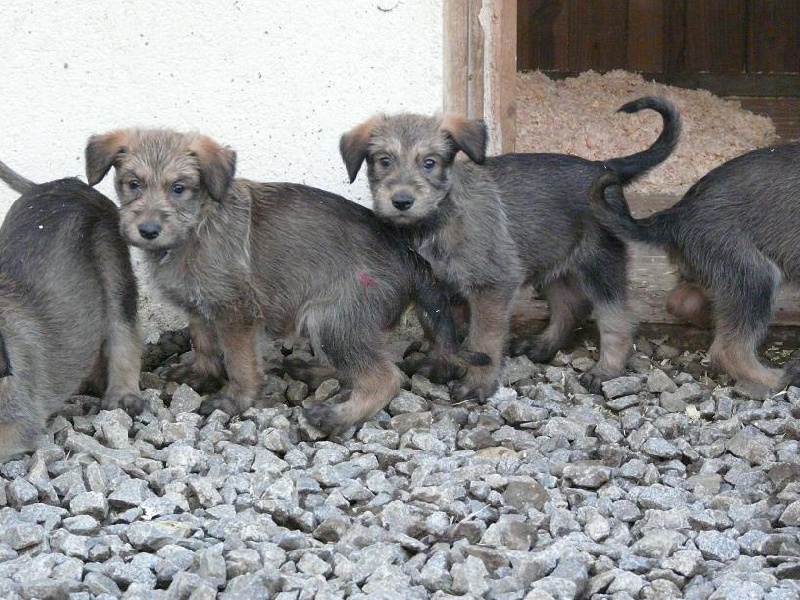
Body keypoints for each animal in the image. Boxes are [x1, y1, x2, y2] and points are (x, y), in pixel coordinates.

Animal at [86, 129, 482, 434]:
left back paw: (337, 416)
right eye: (133, 184)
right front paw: (200, 373)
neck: (197, 224)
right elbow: (204, 343)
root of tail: (407, 254)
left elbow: (239, 361)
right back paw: (310, 371)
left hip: (332, 317)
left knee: (383, 377)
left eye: (179, 188)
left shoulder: (236, 312)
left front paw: (234, 399)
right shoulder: (201, 307)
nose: (148, 230)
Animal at [340, 97, 680, 398]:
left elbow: (483, 340)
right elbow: (439, 333)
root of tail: (603, 167)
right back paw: (542, 345)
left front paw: (477, 383)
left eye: (429, 163)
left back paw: (606, 370)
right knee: (569, 305)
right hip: (550, 257)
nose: (401, 201)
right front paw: (442, 366)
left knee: (616, 319)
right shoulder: (431, 290)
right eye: (384, 161)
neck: (436, 222)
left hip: (600, 262)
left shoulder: (492, 287)